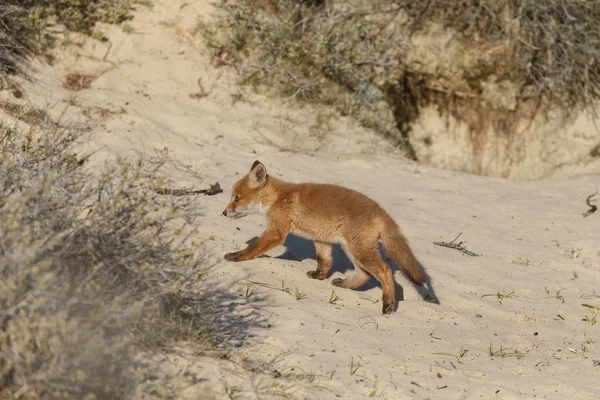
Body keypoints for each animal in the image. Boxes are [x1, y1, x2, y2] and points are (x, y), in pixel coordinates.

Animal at [221, 161, 426, 314]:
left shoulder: (277, 232)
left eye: (237, 198)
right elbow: (324, 260)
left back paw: (388, 304)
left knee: (385, 270)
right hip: (352, 250)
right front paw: (318, 276)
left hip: (359, 251)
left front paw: (236, 256)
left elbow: (253, 248)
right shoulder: (321, 238)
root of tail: (382, 212)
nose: (224, 212)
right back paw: (344, 284)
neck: (280, 198)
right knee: (365, 274)